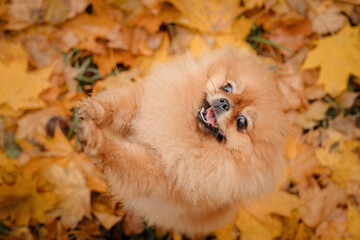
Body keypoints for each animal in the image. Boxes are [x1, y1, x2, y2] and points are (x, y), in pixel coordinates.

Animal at [78, 46, 286, 236]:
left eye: (242, 123)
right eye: (227, 87)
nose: (224, 102)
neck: (189, 131)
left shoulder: (159, 173)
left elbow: (120, 155)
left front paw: (96, 142)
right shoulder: (144, 103)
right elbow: (116, 107)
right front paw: (94, 110)